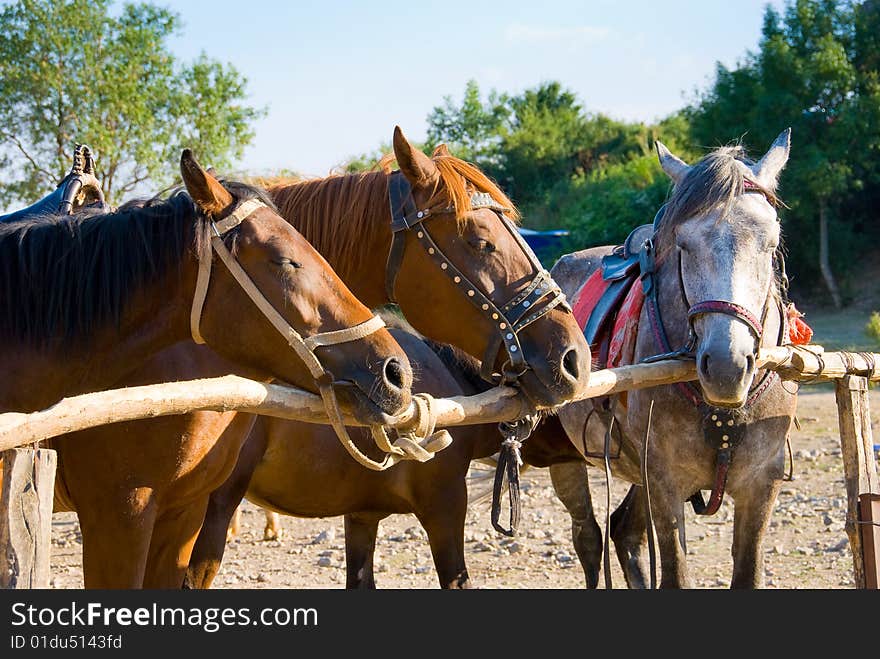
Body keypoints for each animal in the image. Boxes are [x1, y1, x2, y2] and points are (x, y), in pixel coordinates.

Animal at [544, 131, 796, 592]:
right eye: (684, 244)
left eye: (771, 243)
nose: (727, 367)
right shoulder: (664, 483)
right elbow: (675, 575)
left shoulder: (761, 485)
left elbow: (747, 573)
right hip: (568, 459)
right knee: (589, 538)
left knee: (623, 531)